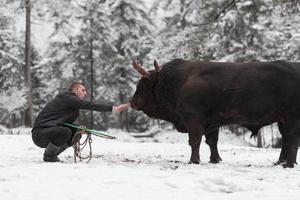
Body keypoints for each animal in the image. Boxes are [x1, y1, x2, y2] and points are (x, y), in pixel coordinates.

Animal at [130, 59, 300, 167]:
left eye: (142, 85)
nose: (132, 102)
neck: (176, 82)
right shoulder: (212, 123)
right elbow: (212, 141)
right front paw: (215, 159)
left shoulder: (194, 121)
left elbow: (195, 141)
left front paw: (194, 160)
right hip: (282, 120)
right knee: (286, 139)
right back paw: (280, 162)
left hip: (291, 117)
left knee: (292, 139)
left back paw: (288, 164)